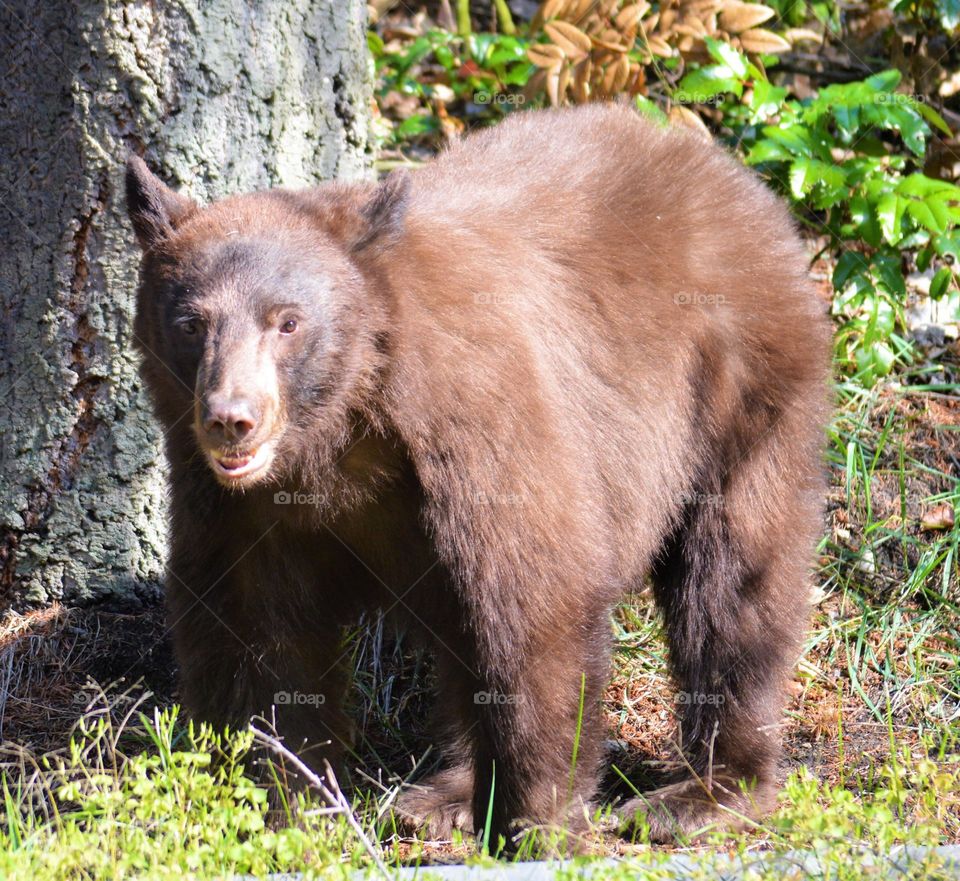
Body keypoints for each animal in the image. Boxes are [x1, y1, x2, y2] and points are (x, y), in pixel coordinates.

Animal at [126, 102, 830, 847]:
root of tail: (728, 174)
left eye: (286, 322)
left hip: (737, 396)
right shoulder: (238, 511)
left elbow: (532, 603)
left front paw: (541, 821)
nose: (232, 419)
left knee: (732, 587)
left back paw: (707, 789)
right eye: (191, 322)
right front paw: (279, 806)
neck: (340, 436)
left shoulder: (479, 425)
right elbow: (255, 638)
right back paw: (448, 793)